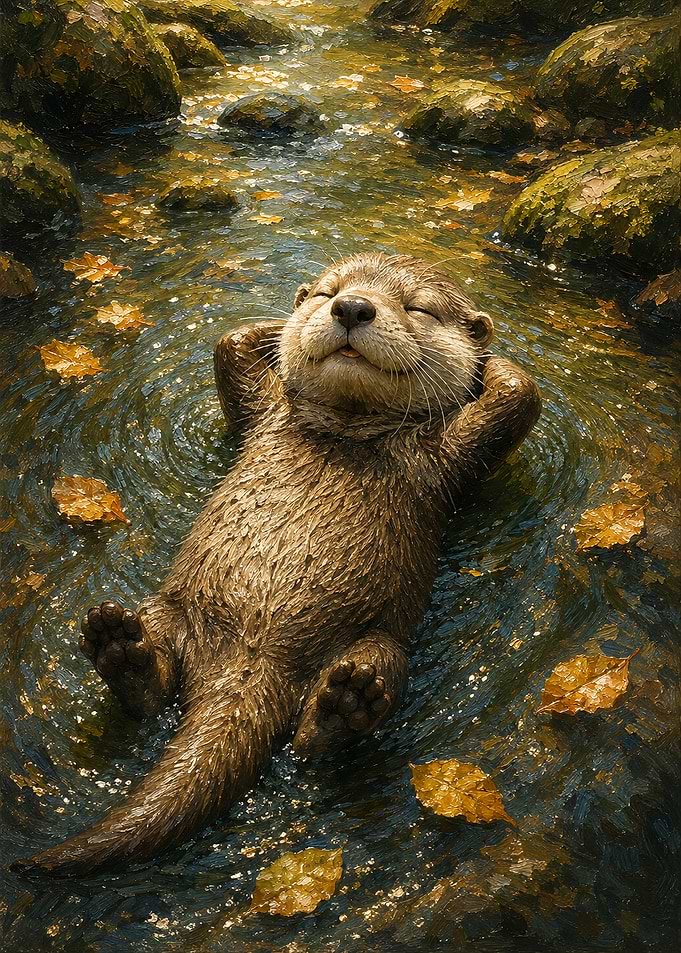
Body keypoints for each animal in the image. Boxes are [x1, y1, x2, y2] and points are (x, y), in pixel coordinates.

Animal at [13, 253, 540, 876]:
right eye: (328, 293)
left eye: (418, 308)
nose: (352, 307)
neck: (345, 433)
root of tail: (254, 659)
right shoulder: (261, 411)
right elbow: (231, 346)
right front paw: (272, 325)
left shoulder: (449, 459)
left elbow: (520, 395)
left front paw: (495, 363)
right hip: (170, 608)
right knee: (154, 681)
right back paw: (121, 648)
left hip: (379, 643)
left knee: (320, 733)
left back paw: (345, 706)